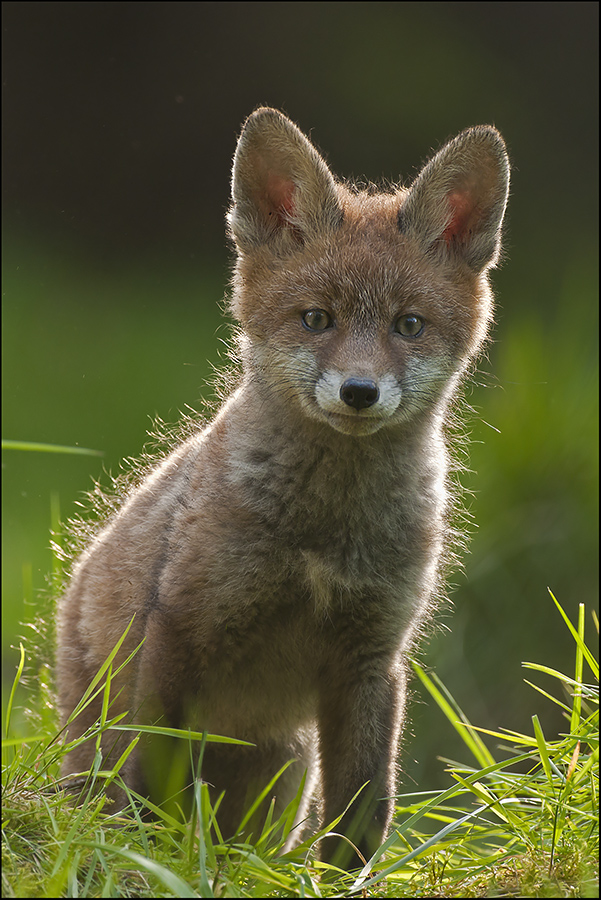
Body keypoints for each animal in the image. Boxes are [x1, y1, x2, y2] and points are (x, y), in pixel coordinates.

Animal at [56, 105, 508, 864]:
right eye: (316, 319)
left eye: (408, 326)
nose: (359, 392)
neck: (324, 534)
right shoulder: (182, 627)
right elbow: (156, 785)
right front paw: (157, 863)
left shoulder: (371, 656)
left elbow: (362, 811)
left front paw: (336, 879)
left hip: (282, 775)